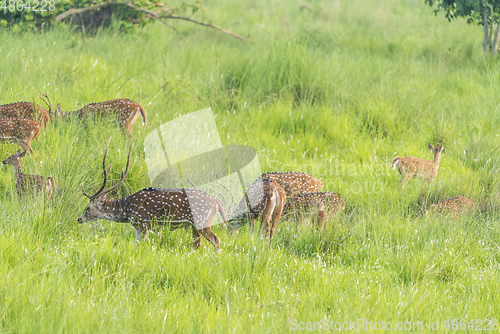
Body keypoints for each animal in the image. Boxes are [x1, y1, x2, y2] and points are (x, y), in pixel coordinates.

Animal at [77, 138, 226, 250]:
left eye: (88, 208)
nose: (79, 219)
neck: (128, 211)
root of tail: (217, 202)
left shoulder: (143, 223)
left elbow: (140, 246)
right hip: (194, 225)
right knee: (197, 244)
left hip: (202, 221)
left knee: (216, 240)